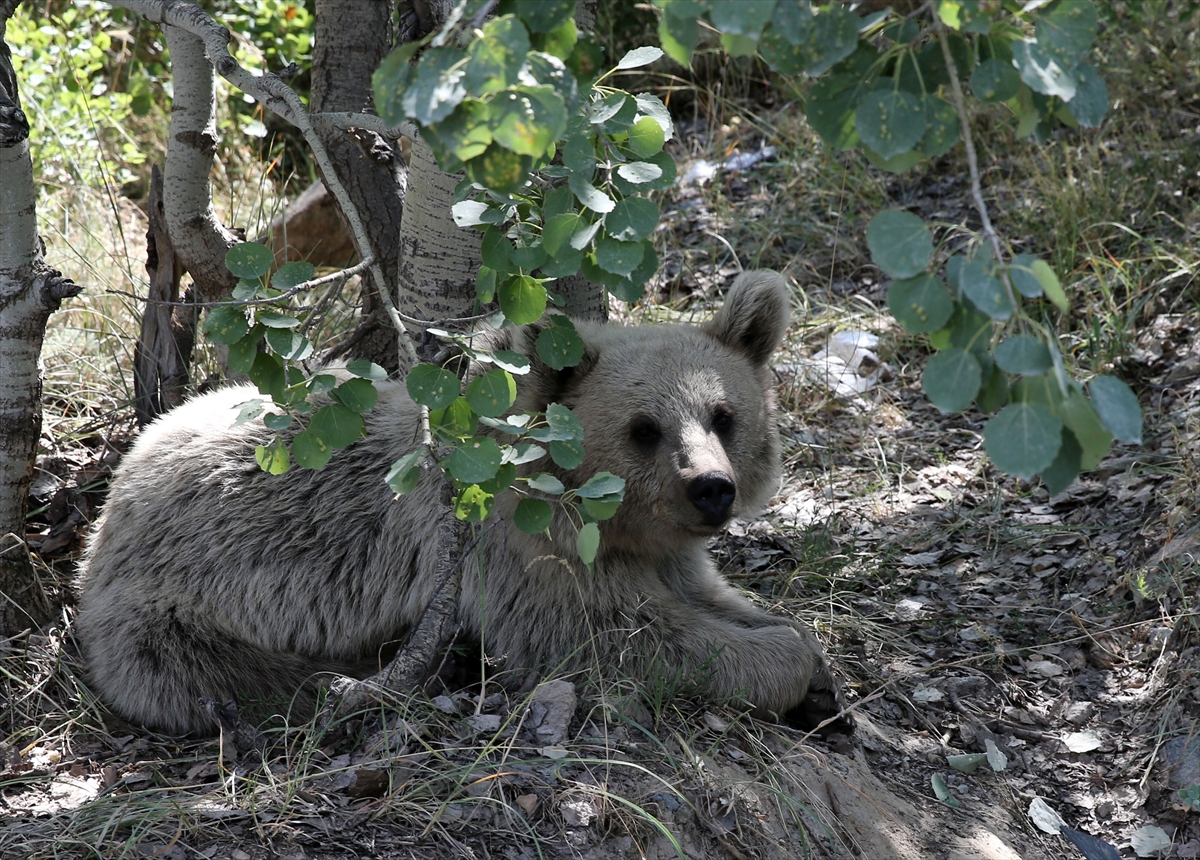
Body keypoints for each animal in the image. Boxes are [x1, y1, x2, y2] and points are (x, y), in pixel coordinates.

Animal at [75, 268, 840, 729]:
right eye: (644, 428)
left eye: (723, 416)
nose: (711, 489)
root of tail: (114, 493)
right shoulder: (521, 554)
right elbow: (619, 637)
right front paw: (790, 668)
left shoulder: (661, 552)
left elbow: (705, 596)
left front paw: (812, 662)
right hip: (169, 612)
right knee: (234, 677)